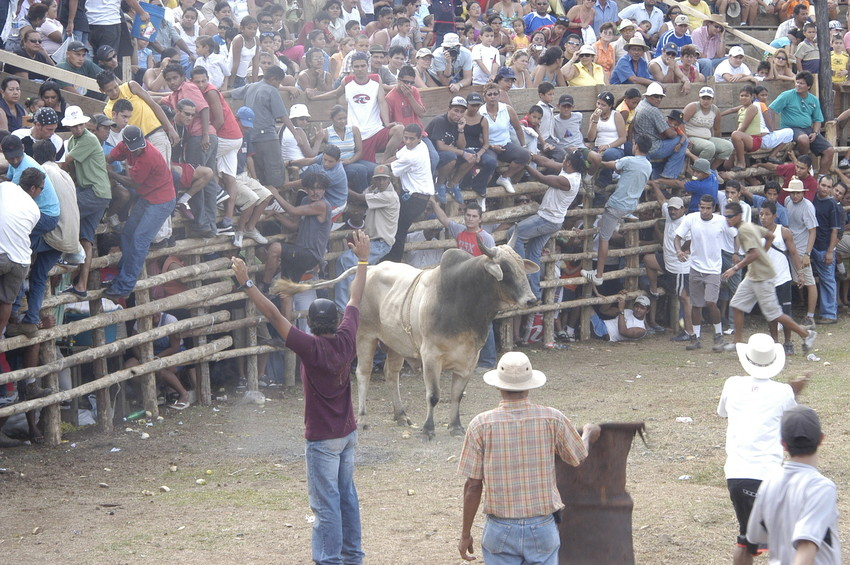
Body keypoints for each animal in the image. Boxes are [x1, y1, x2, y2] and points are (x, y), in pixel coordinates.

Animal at [274, 231, 536, 438]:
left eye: (521, 267)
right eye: (505, 269)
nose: (531, 300)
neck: (462, 301)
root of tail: (371, 268)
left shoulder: (469, 359)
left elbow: (456, 396)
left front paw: (455, 426)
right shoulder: (430, 357)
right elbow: (433, 395)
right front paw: (428, 429)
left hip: (395, 345)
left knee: (391, 375)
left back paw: (400, 415)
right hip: (365, 336)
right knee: (363, 373)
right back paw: (363, 418)